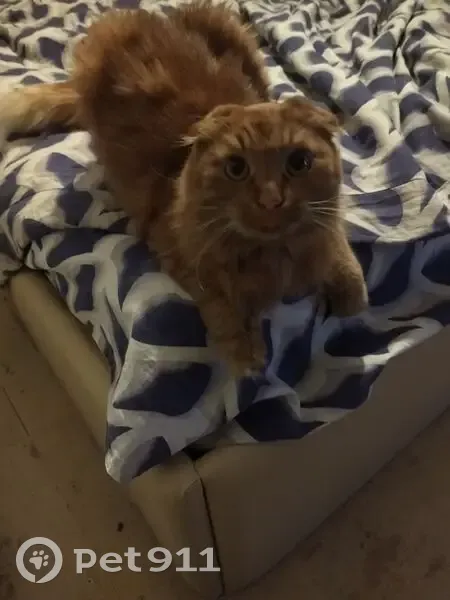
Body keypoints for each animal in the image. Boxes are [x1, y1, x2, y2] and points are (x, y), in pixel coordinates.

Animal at [0, 1, 368, 376]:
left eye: (299, 162)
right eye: (236, 168)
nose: (271, 199)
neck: (274, 255)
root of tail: (159, 16)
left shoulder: (326, 226)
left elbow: (343, 256)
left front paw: (350, 293)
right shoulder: (179, 252)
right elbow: (222, 305)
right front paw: (246, 353)